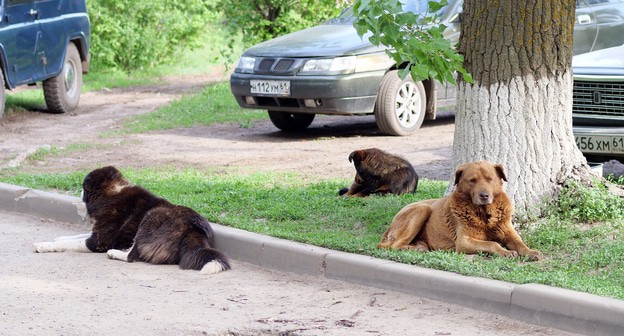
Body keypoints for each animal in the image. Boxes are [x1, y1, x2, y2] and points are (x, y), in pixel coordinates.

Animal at [33, 165, 230, 272]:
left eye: (83, 187)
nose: (79, 192)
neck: (111, 194)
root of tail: (194, 228)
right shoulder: (98, 231)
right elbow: (74, 236)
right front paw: (59, 237)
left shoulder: (100, 241)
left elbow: (73, 242)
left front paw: (44, 245)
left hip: (152, 216)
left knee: (132, 255)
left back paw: (115, 253)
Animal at [378, 160, 544, 260]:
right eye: (472, 180)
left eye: (490, 179)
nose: (484, 195)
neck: (485, 214)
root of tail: (389, 227)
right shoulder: (464, 241)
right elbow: (492, 244)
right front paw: (505, 252)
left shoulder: (507, 230)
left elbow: (519, 242)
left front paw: (531, 252)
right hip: (422, 209)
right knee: (393, 245)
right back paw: (416, 249)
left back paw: (419, 247)